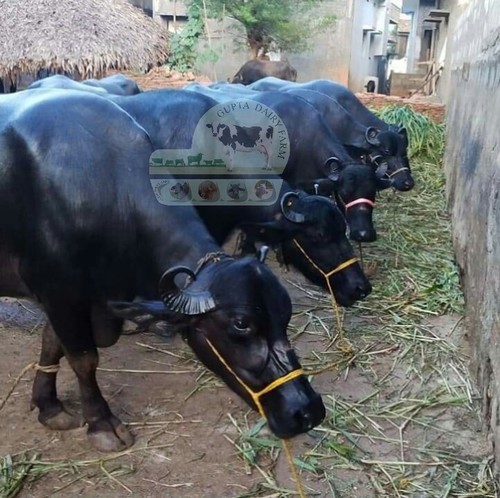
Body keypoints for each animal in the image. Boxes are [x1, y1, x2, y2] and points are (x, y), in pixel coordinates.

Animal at [0, 90, 326, 452]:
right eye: (241, 324)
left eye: (285, 316)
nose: (307, 411)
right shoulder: (59, 292)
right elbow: (84, 358)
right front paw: (101, 423)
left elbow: (51, 343)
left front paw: (49, 406)